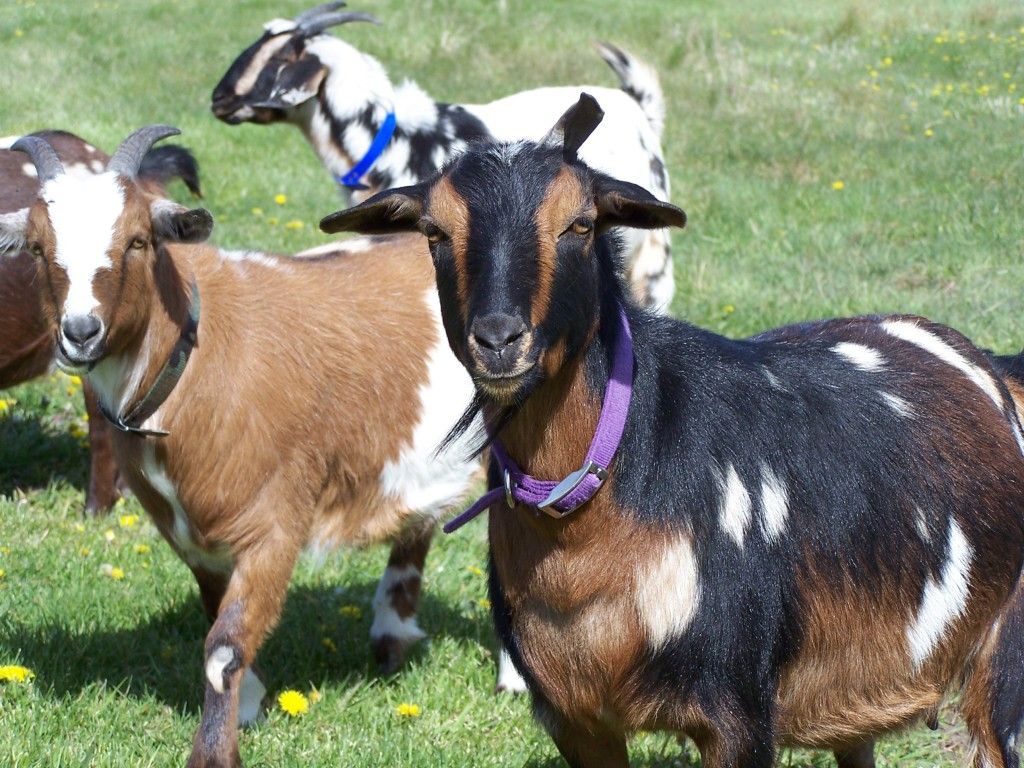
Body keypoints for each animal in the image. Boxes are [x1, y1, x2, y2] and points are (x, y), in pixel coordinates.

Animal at [321, 94, 1024, 768]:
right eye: (434, 232)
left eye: (581, 223)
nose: (498, 339)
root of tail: (991, 368)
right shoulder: (574, 718)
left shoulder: (738, 713)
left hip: (1003, 661)